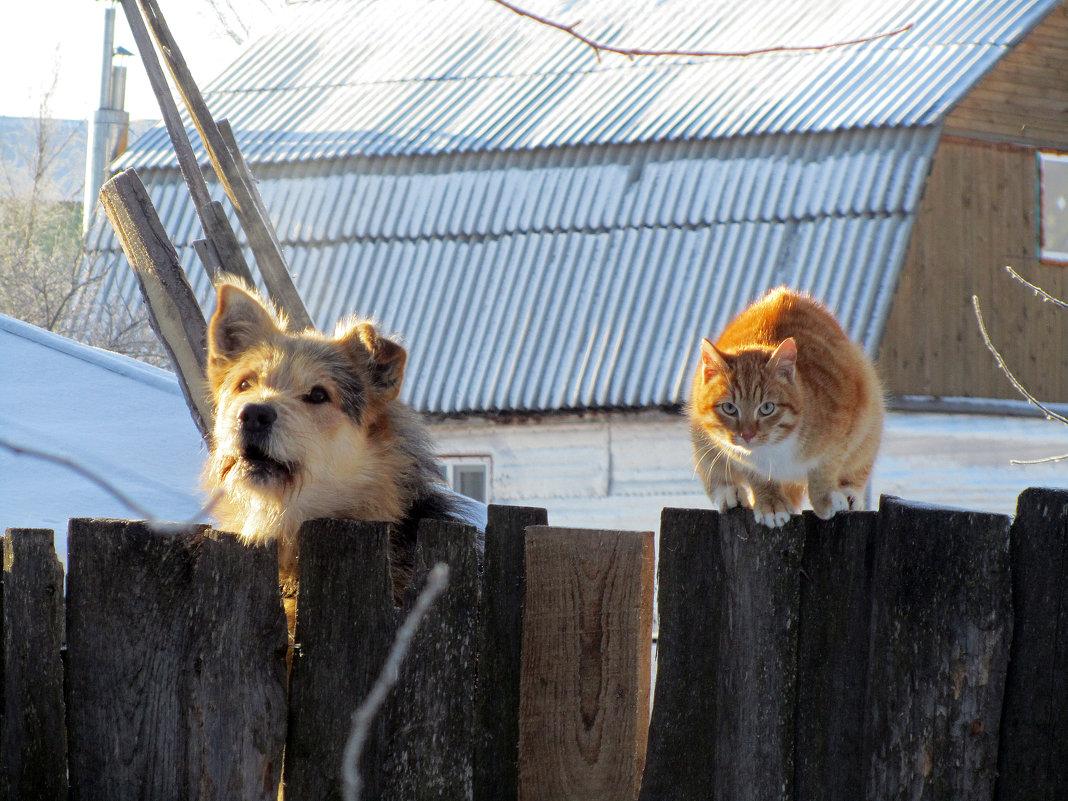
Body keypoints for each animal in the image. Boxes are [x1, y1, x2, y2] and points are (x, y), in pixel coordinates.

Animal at [692, 286, 884, 527]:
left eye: (767, 408)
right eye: (729, 408)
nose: (747, 434)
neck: (777, 448)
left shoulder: (847, 424)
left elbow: (826, 466)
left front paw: (826, 498)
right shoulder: (736, 455)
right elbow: (758, 477)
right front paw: (771, 505)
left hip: (870, 419)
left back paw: (849, 494)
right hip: (701, 439)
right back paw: (729, 492)